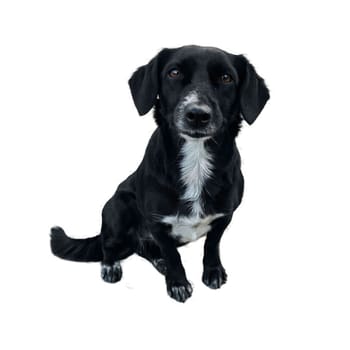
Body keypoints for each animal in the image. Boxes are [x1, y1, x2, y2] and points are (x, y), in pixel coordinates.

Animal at [50, 45, 270, 302]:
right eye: (174, 73)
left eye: (226, 78)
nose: (197, 114)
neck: (196, 160)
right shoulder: (156, 223)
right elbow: (173, 255)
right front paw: (178, 283)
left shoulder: (224, 216)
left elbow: (211, 246)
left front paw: (213, 271)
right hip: (118, 205)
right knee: (110, 243)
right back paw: (111, 265)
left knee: (144, 248)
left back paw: (158, 262)